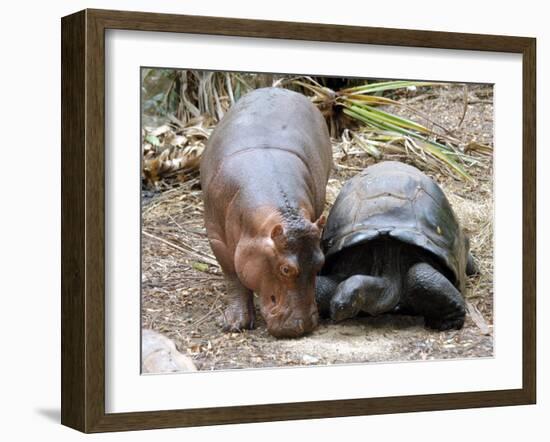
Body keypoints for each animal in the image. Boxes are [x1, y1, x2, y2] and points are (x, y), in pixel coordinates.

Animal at [202, 89, 334, 338]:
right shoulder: (217, 239)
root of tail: (280, 89)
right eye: (285, 269)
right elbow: (233, 277)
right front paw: (233, 324)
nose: (303, 325)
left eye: (321, 262)